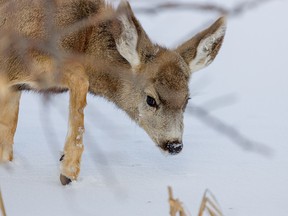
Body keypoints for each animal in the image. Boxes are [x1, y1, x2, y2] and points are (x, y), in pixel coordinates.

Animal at [0, 0, 226, 186]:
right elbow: (81, 80)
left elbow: (7, 140)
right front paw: (68, 171)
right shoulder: (15, 61)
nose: (174, 145)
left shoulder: (14, 87)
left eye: (186, 100)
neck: (80, 39)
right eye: (151, 100)